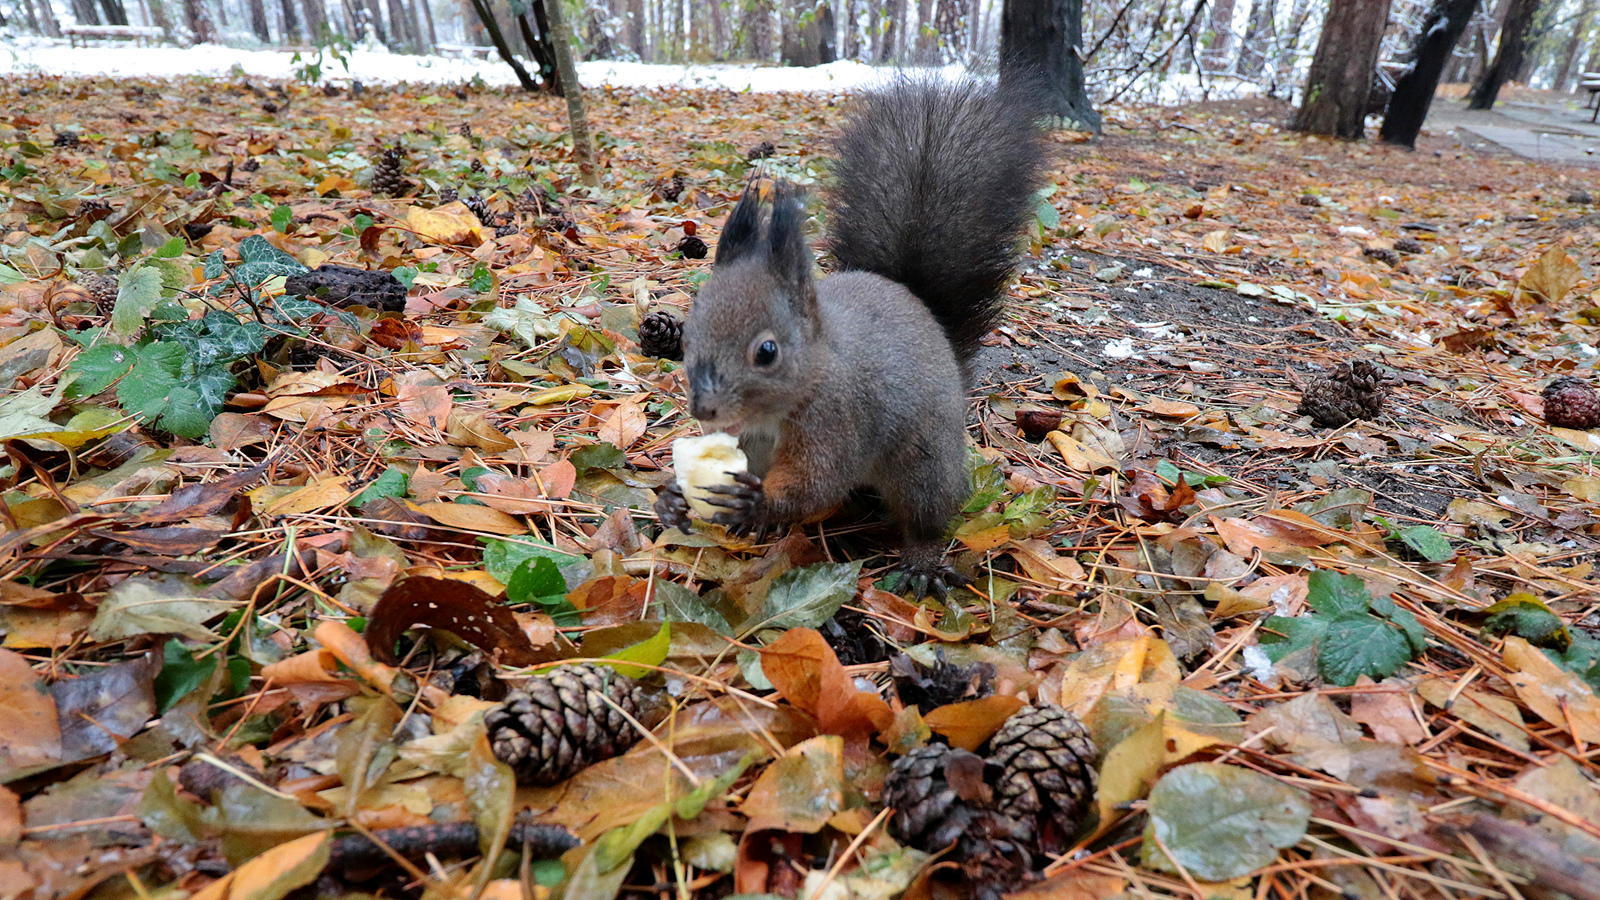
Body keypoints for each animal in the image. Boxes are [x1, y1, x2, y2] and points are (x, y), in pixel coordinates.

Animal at [649, 76, 1049, 595]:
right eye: (687, 335)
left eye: (767, 351)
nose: (703, 410)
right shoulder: (749, 442)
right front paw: (673, 497)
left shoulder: (838, 419)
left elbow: (816, 482)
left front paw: (758, 505)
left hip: (924, 464)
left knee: (927, 515)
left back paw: (922, 562)